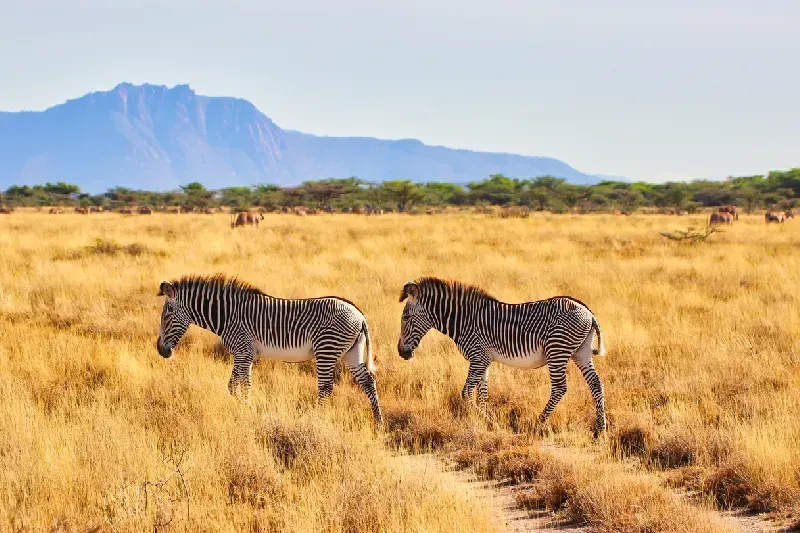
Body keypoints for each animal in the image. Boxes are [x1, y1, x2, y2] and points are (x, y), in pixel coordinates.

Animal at [156, 274, 382, 424]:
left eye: (167, 316)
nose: (161, 351)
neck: (227, 316)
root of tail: (359, 315)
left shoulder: (243, 351)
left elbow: (240, 385)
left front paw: (246, 411)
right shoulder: (245, 354)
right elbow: (236, 386)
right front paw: (244, 408)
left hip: (326, 350)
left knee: (325, 388)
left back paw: (315, 418)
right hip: (351, 352)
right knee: (368, 381)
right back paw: (378, 422)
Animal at [397, 277, 607, 436]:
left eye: (405, 317)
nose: (401, 353)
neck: (464, 321)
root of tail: (588, 312)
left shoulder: (478, 358)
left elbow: (466, 393)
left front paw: (490, 423)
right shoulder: (484, 361)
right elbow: (482, 394)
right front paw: (485, 424)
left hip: (557, 350)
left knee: (560, 388)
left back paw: (537, 423)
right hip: (581, 352)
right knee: (596, 383)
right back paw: (600, 429)